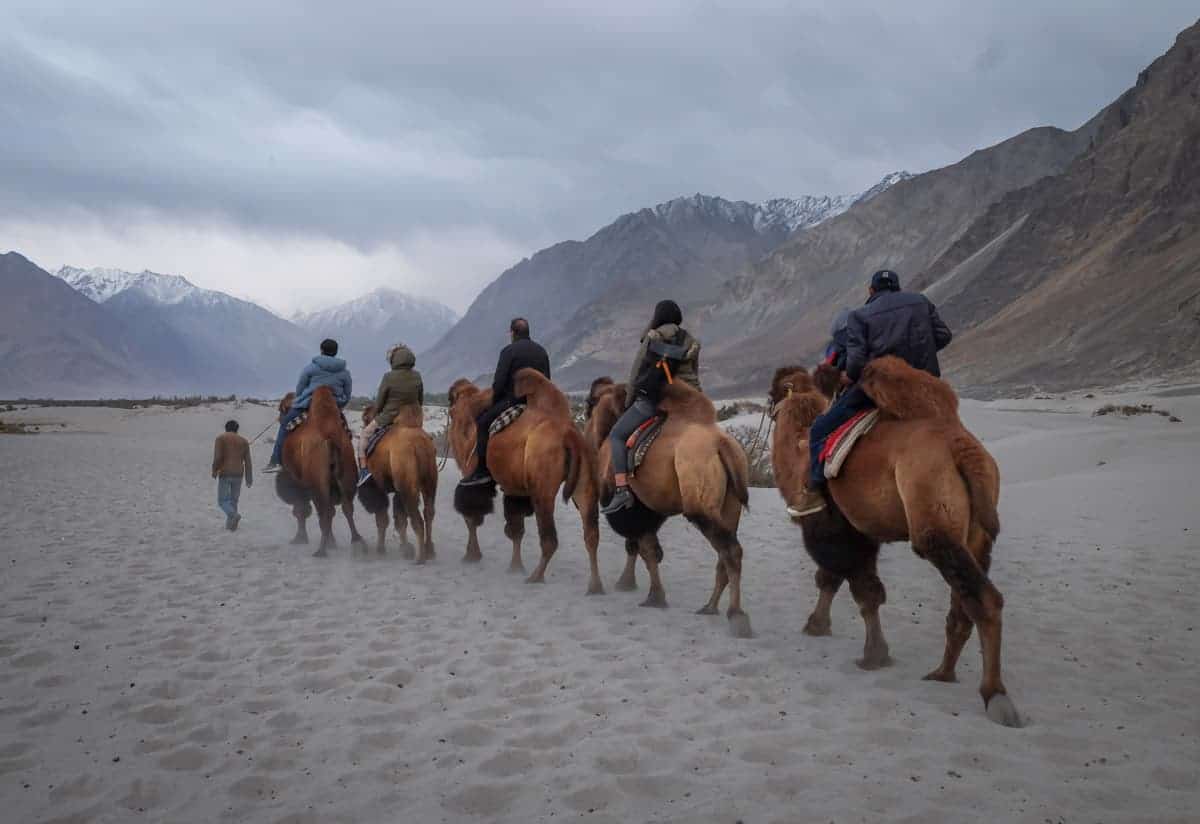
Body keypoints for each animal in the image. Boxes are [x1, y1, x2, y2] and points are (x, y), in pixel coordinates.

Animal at [273, 386, 362, 554]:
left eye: (282, 410)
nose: (280, 418)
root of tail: (330, 439)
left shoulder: (297, 481)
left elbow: (301, 508)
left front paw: (300, 538)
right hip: (346, 477)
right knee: (346, 507)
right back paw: (357, 542)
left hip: (317, 485)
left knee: (323, 511)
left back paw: (321, 550)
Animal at [355, 405, 441, 563]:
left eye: (365, 420)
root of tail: (419, 445)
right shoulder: (397, 490)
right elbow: (400, 518)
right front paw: (405, 548)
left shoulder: (379, 486)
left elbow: (383, 518)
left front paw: (381, 549)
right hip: (429, 482)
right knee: (428, 512)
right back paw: (429, 550)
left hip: (408, 487)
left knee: (416, 518)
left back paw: (420, 558)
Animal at [446, 369, 604, 592]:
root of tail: (571, 436)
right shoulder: (514, 488)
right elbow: (516, 527)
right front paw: (515, 566)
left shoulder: (470, 473)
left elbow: (472, 516)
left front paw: (472, 555)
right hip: (586, 480)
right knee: (591, 534)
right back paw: (595, 585)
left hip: (542, 490)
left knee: (549, 538)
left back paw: (536, 576)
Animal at [585, 379, 753, 638]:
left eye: (590, 404)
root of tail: (722, 446)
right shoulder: (650, 508)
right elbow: (647, 549)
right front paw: (638, 588)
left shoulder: (634, 509)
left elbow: (644, 548)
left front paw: (653, 596)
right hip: (730, 506)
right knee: (725, 553)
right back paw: (710, 607)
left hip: (699, 506)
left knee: (730, 551)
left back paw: (736, 616)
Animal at [772, 357, 1017, 724]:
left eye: (773, 391)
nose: (771, 406)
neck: (799, 447)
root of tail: (963, 450)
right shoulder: (859, 530)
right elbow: (844, 582)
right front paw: (824, 627)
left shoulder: (832, 527)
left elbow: (855, 587)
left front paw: (870, 653)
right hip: (977, 535)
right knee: (963, 604)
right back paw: (943, 673)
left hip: (932, 522)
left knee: (982, 598)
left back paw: (995, 696)